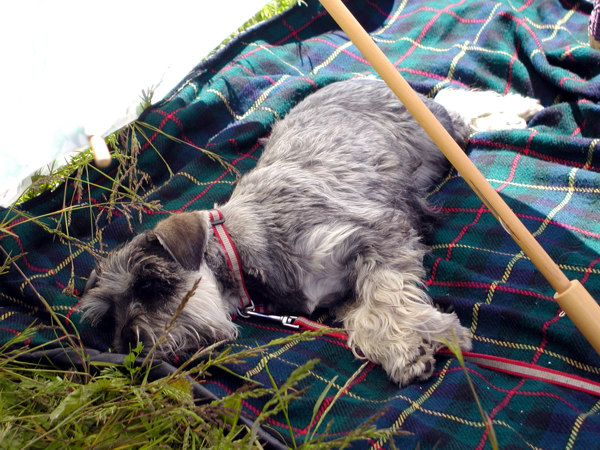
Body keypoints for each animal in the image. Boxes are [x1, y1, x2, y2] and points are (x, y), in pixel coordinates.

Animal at [81, 78, 544, 386]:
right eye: (107, 318)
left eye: (150, 284)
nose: (128, 349)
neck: (242, 250)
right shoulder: (341, 292)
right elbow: (363, 317)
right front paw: (407, 345)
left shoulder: (376, 234)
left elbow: (385, 296)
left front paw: (411, 344)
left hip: (436, 129)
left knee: (454, 101)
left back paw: (517, 109)